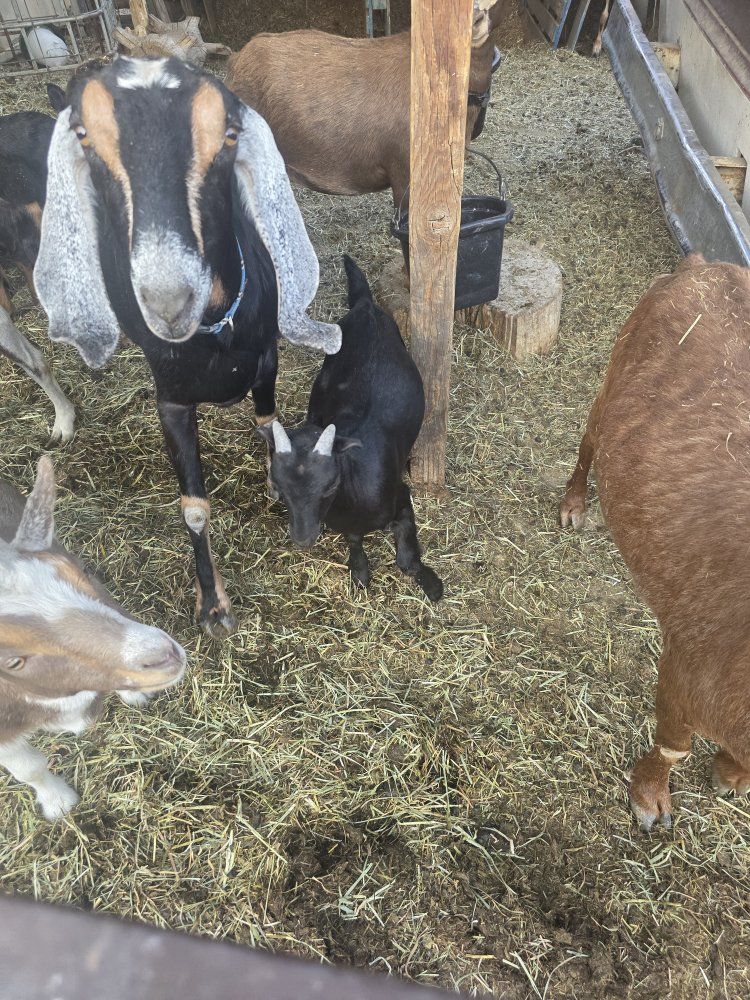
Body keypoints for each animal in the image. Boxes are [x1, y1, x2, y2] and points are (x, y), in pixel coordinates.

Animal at [34, 57, 341, 639]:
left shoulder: (266, 358)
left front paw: (277, 482)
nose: (168, 301)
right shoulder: (170, 398)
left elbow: (267, 424)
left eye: (229, 134)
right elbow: (194, 509)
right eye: (84, 136)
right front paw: (213, 607)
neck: (213, 331)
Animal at [259, 256, 443, 602]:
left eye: (330, 485)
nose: (303, 539)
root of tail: (366, 305)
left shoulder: (402, 497)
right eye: (280, 488)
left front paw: (430, 583)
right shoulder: (348, 524)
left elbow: (407, 560)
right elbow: (355, 540)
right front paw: (359, 572)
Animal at [560, 255, 750, 831]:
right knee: (589, 441)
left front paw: (730, 774)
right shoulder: (689, 667)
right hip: (616, 367)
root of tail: (706, 267)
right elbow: (674, 744)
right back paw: (573, 504)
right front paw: (649, 798)